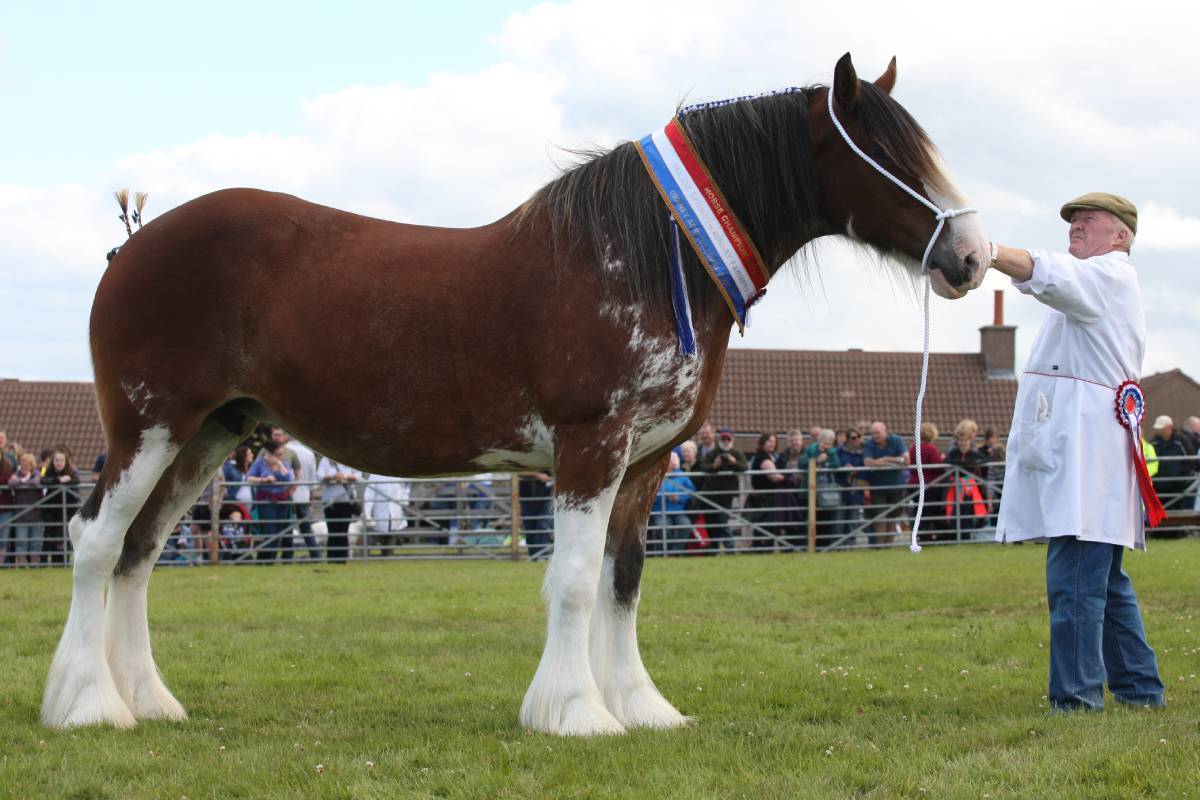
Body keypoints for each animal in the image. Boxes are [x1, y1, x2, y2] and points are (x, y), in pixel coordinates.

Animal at [44, 53, 984, 734]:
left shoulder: (646, 463)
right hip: (150, 428)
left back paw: (147, 702)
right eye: (890, 158)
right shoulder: (588, 447)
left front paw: (639, 707)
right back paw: (87, 706)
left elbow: (622, 579)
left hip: (209, 436)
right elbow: (570, 581)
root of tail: (134, 244)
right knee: (95, 543)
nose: (971, 257)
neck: (648, 257)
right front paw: (576, 713)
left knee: (138, 554)